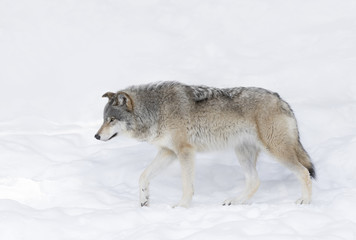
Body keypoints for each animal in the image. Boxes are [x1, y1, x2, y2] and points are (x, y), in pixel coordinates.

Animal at [94, 81, 314, 207]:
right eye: (104, 119)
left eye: (111, 120)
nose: (96, 136)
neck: (156, 110)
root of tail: (281, 100)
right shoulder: (168, 152)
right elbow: (143, 176)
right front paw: (144, 200)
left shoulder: (185, 152)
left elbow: (187, 185)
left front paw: (181, 207)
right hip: (242, 153)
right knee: (255, 181)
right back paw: (235, 201)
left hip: (276, 150)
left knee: (304, 172)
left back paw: (305, 201)